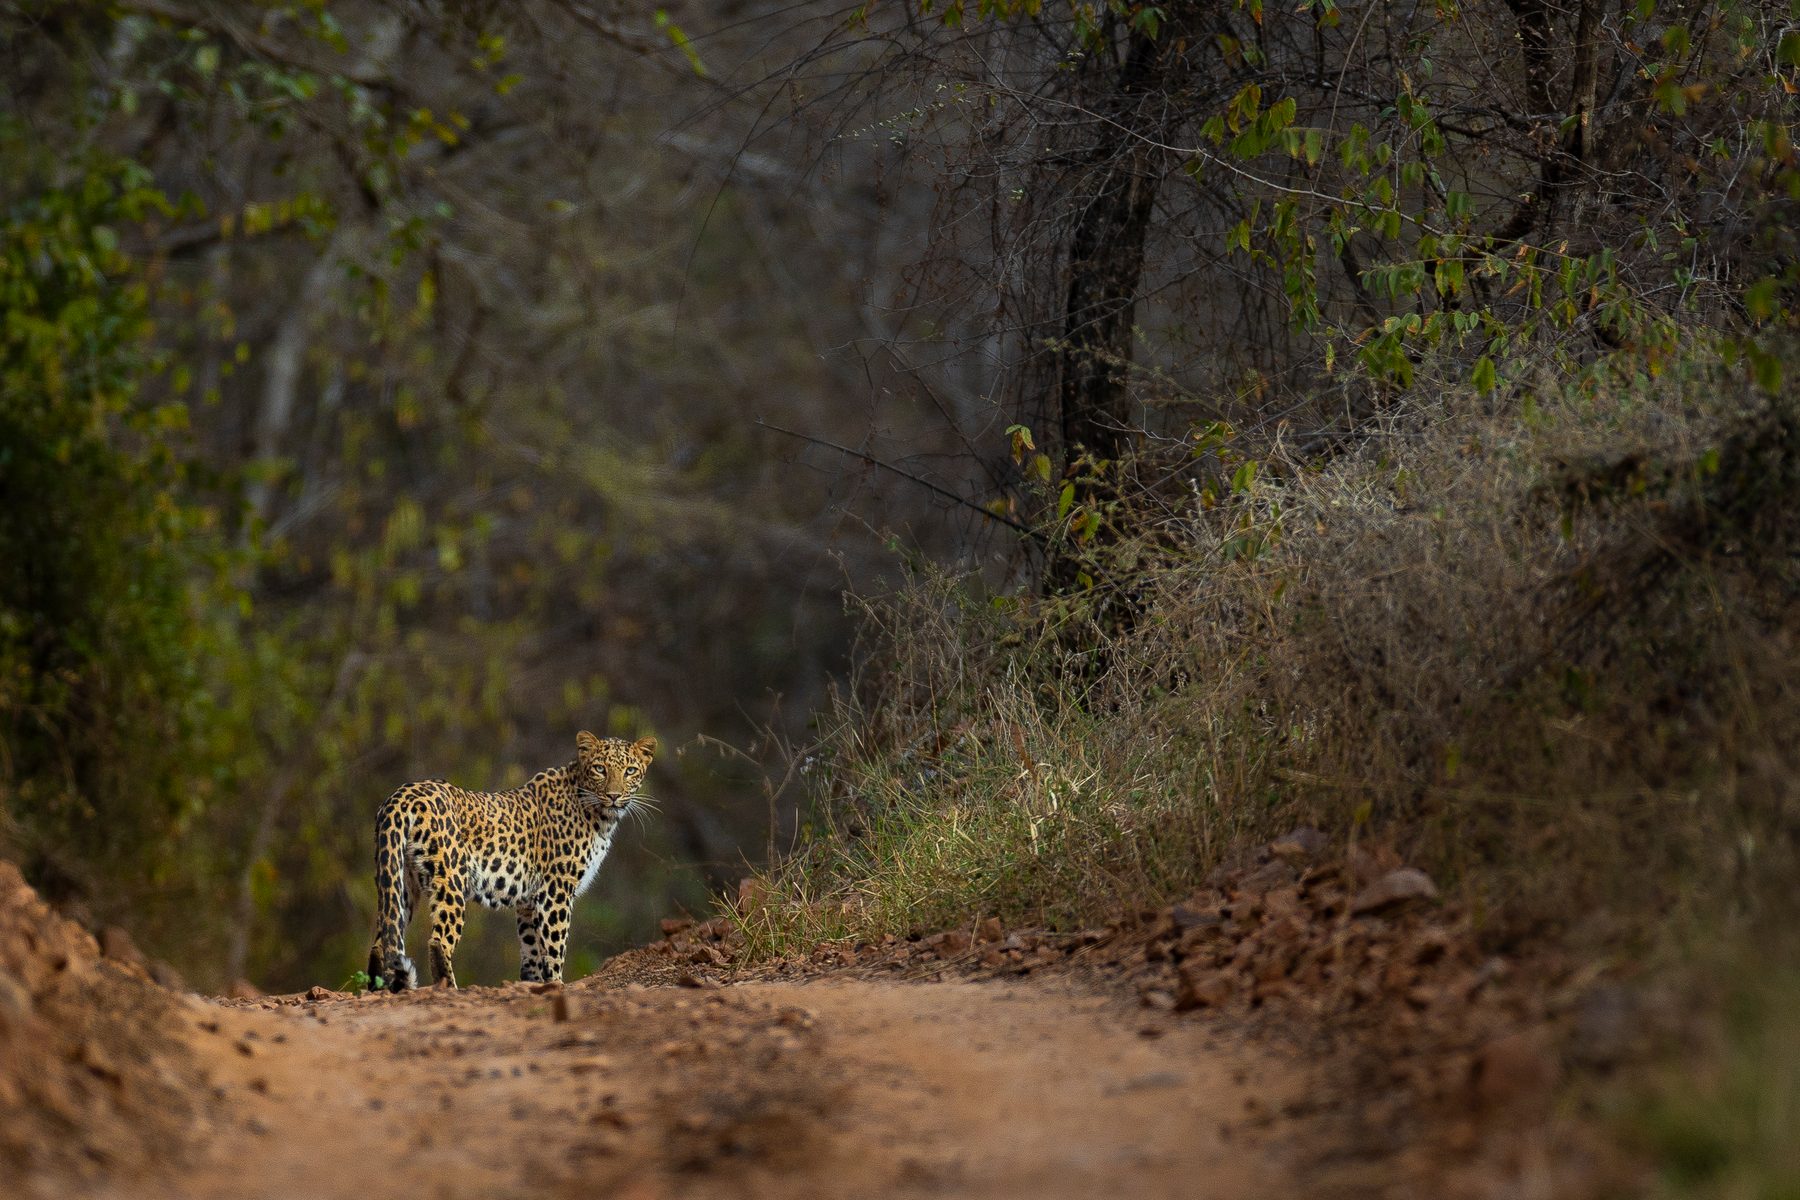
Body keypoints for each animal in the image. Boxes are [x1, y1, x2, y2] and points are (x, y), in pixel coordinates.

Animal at [366, 731, 656, 992]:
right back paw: (450, 988)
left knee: (382, 941)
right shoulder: (555, 890)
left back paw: (379, 989)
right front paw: (557, 985)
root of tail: (402, 794)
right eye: (600, 769)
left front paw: (533, 983)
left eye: (630, 771)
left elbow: (532, 950)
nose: (614, 795)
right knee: (438, 941)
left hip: (400, 880)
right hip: (451, 879)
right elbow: (555, 945)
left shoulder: (529, 900)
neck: (600, 816)